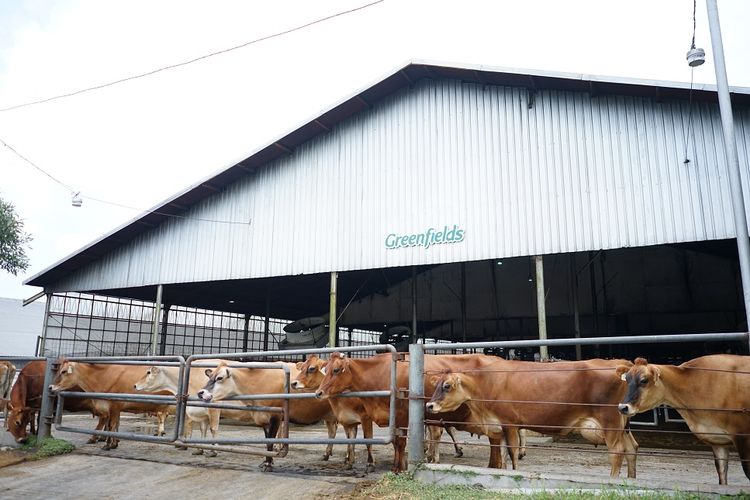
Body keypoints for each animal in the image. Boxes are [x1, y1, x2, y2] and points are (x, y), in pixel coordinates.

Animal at [200, 360, 340, 468]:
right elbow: (267, 439)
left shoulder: (276, 416)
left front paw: (268, 464)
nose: (201, 393)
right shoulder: (262, 417)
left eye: (219, 378)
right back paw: (327, 455)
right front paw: (268, 461)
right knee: (332, 432)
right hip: (329, 416)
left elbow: (271, 440)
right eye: (210, 376)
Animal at [428, 356, 640, 476]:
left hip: (610, 422)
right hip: (623, 423)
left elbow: (512, 453)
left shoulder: (510, 423)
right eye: (436, 384)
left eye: (447, 386)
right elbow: (503, 456)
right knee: (631, 448)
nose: (429, 405)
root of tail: (619, 363)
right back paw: (631, 479)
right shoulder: (499, 426)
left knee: (617, 451)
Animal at [616, 356, 750, 484]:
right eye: (627, 380)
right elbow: (722, 474)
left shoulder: (742, 436)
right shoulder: (718, 441)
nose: (623, 407)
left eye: (644, 380)